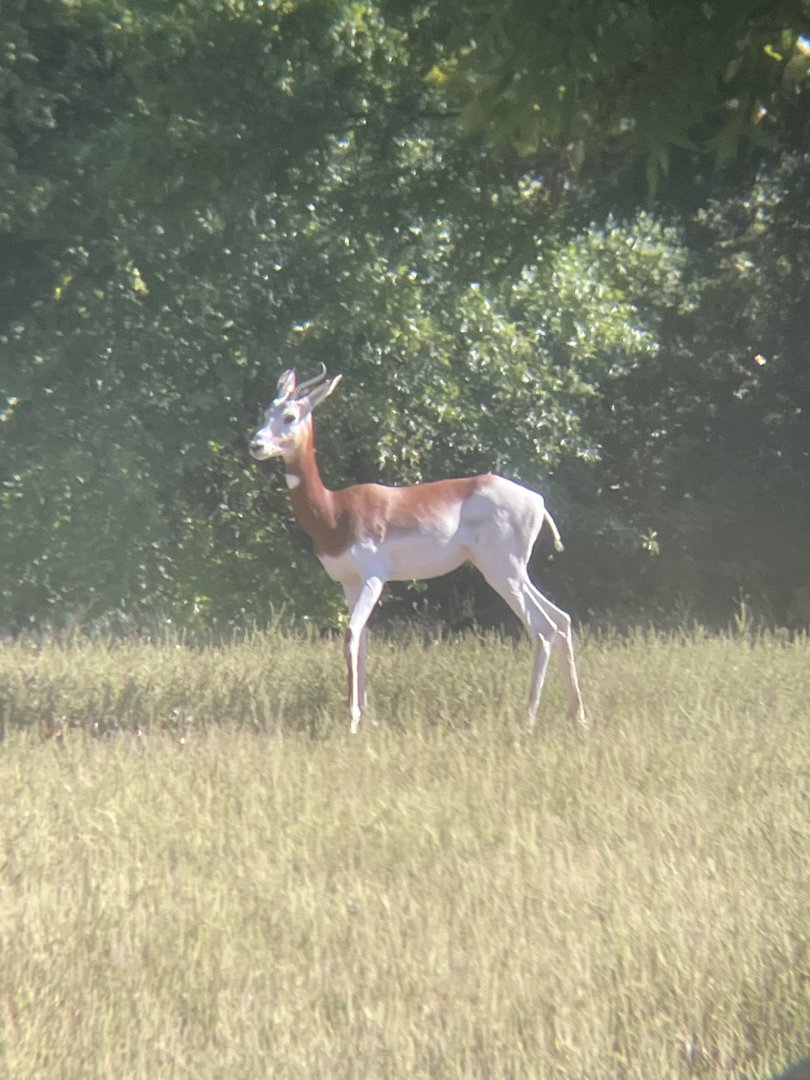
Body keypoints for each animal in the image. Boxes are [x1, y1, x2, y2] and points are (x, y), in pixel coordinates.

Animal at [249, 366, 585, 733]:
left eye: (289, 415)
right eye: (265, 413)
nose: (256, 444)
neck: (334, 509)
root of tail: (537, 501)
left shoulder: (374, 578)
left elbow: (350, 634)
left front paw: (352, 721)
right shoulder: (349, 583)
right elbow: (362, 640)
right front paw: (367, 716)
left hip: (502, 572)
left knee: (542, 629)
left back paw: (528, 719)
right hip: (512, 572)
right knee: (562, 619)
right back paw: (577, 715)